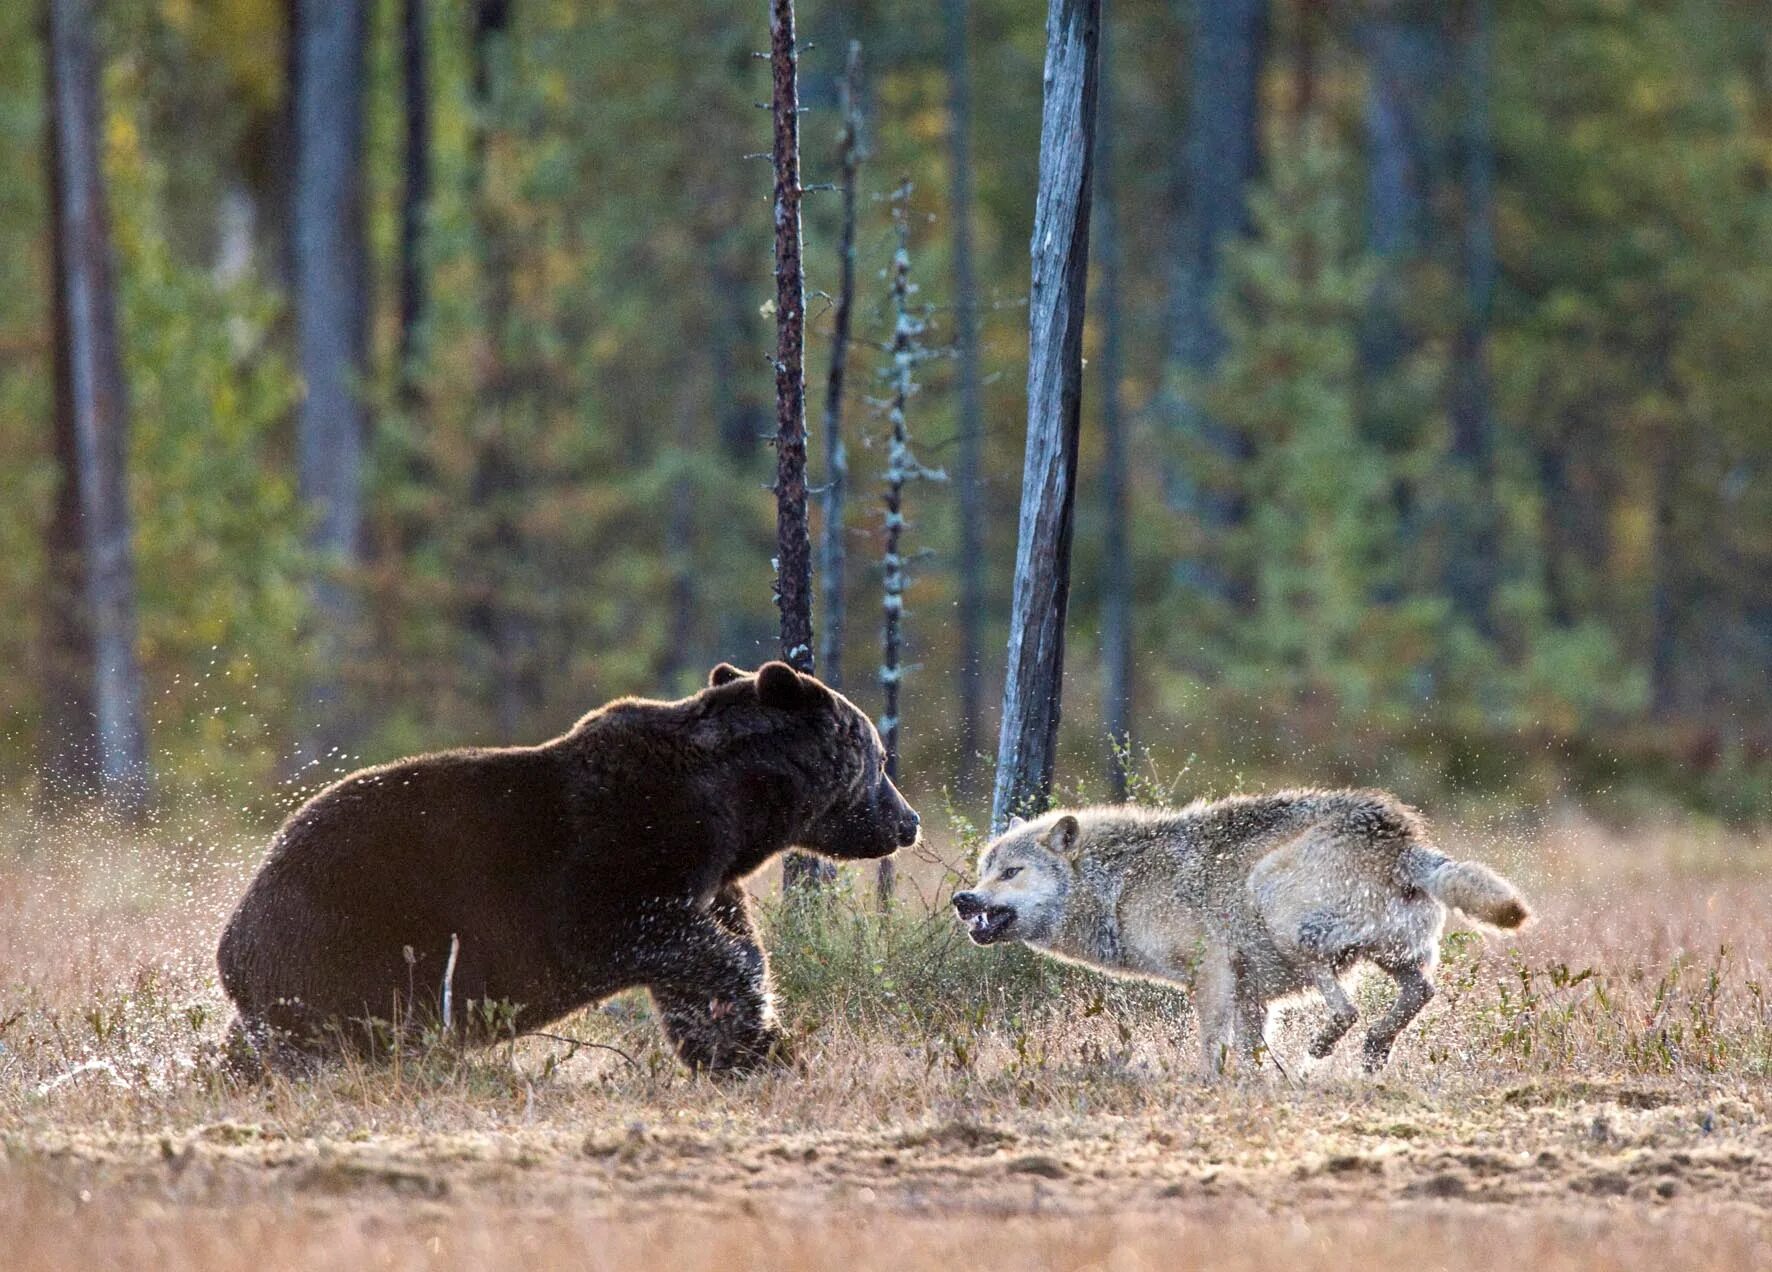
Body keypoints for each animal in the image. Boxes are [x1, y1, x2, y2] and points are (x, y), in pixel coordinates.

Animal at [214, 666, 921, 1077]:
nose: (908, 821)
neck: (735, 811)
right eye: (878, 758)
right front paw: (759, 1029)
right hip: (349, 934)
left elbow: (705, 965)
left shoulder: (712, 879)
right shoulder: (620, 854)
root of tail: (232, 935)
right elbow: (660, 939)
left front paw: (751, 1047)